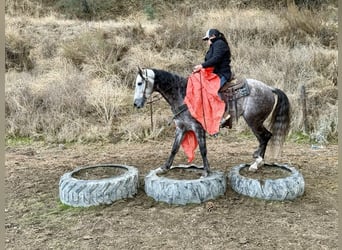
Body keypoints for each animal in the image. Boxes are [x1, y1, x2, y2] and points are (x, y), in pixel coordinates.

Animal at [132, 68, 290, 176]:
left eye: (139, 83)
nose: (136, 104)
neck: (183, 94)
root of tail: (269, 88)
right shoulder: (181, 128)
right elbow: (174, 149)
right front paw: (164, 167)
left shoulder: (197, 127)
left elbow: (203, 150)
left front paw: (206, 171)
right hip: (255, 121)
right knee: (264, 137)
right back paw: (257, 158)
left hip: (253, 121)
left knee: (265, 136)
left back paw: (256, 163)